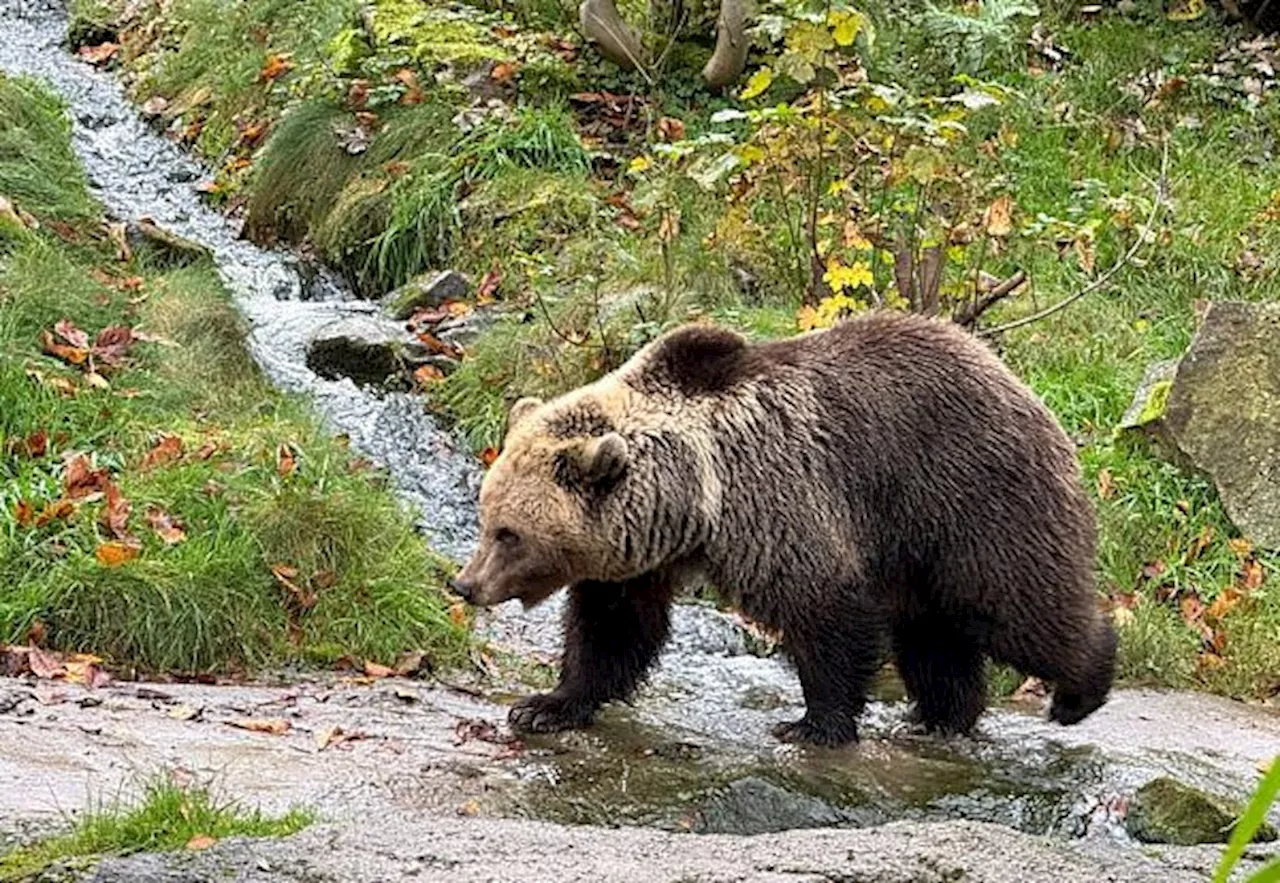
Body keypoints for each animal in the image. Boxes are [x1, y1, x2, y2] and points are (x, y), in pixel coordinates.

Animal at [455, 313, 1116, 737]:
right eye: (486, 518)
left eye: (510, 533)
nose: (464, 584)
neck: (692, 499)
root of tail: (1020, 383)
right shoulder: (640, 554)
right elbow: (612, 628)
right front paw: (545, 705)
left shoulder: (778, 499)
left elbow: (823, 608)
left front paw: (813, 723)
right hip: (916, 542)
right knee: (932, 631)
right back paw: (940, 715)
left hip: (969, 497)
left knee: (1015, 607)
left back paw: (1079, 689)